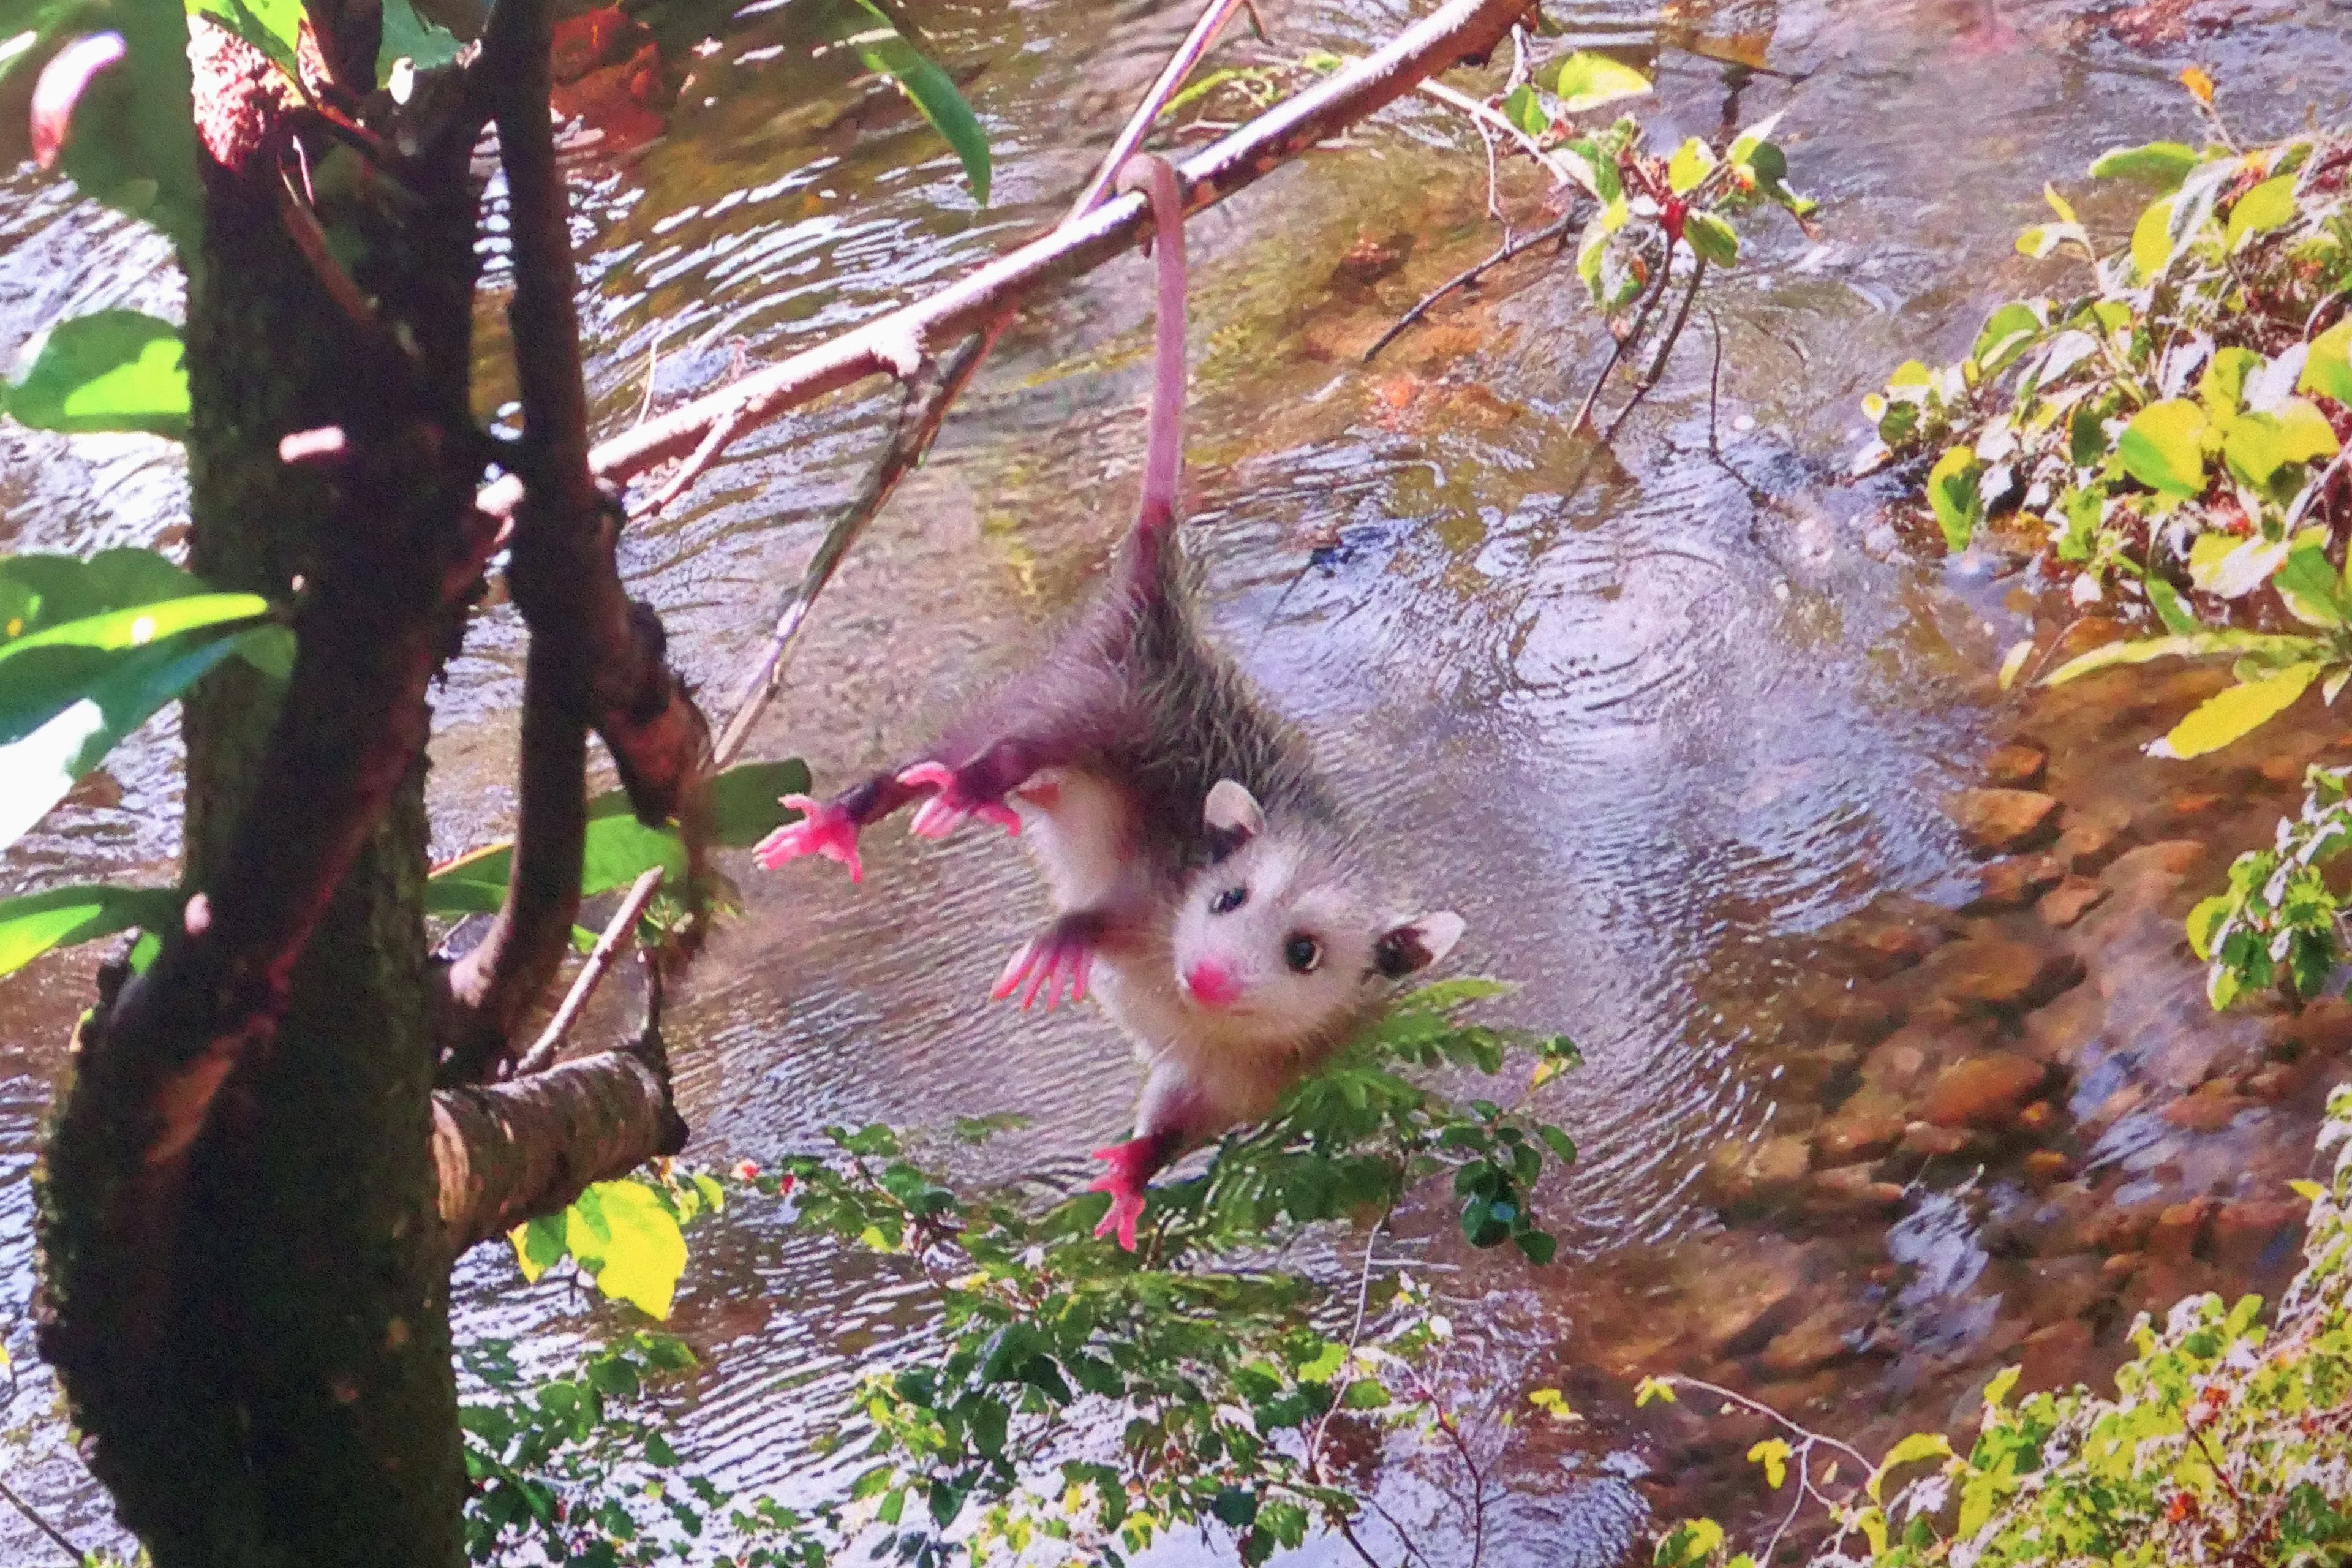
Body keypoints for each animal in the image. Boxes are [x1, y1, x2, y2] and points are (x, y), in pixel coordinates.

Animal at [757, 153, 1464, 1251]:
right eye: (1226, 899)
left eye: (1305, 953)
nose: (1206, 974)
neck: (1196, 1008)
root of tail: (1161, 616)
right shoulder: (1150, 896)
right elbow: (1097, 914)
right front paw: (1060, 946)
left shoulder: (1241, 1082)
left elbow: (1172, 1124)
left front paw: (1127, 1183)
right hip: (1088, 693)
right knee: (980, 750)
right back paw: (876, 810)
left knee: (993, 770)